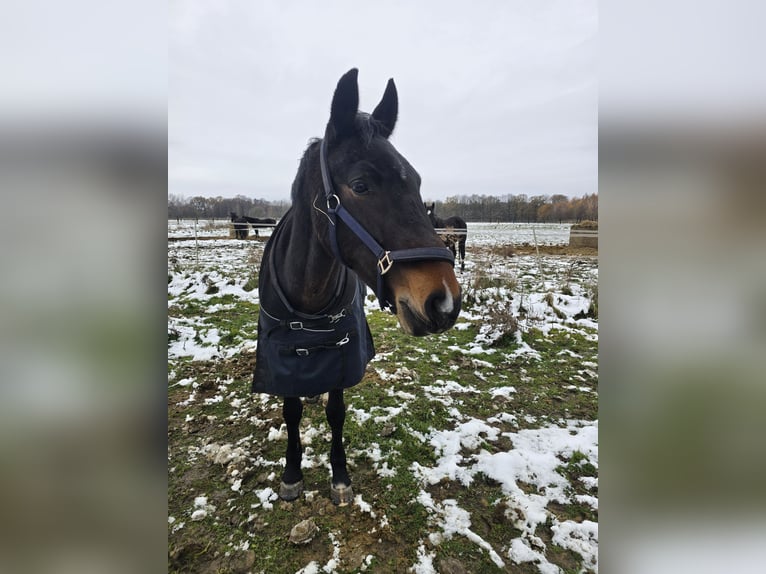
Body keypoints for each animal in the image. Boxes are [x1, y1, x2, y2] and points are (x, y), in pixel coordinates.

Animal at [252, 70, 462, 506]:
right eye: (361, 185)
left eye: (417, 183)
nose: (445, 301)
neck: (309, 301)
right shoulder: (282, 362)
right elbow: (291, 412)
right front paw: (292, 473)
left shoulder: (342, 355)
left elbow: (336, 412)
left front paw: (339, 475)